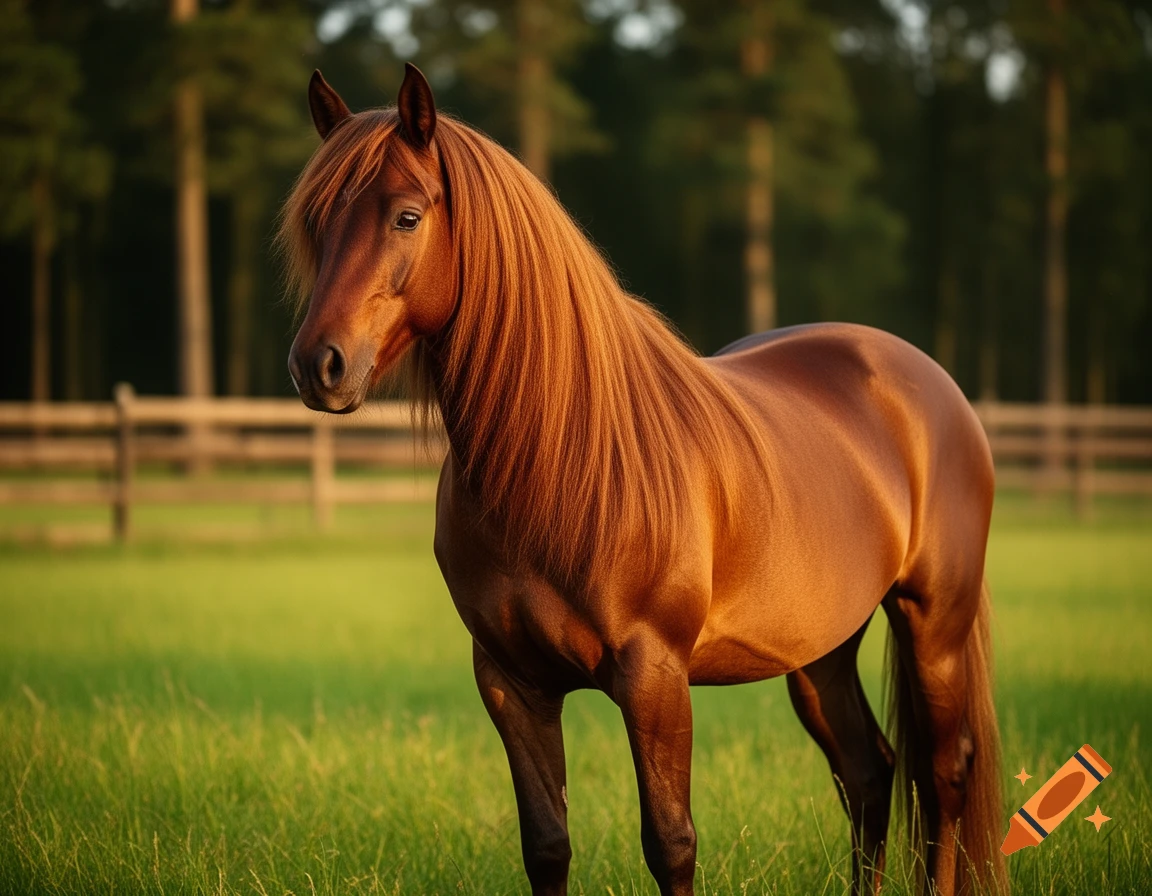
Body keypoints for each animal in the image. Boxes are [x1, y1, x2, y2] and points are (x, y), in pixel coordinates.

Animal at [280, 64, 1007, 896]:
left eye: (405, 216)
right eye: (316, 222)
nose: (319, 365)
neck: (556, 462)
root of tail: (931, 384)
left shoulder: (653, 676)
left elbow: (670, 842)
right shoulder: (511, 682)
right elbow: (547, 845)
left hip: (932, 623)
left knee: (943, 777)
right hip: (821, 649)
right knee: (868, 772)